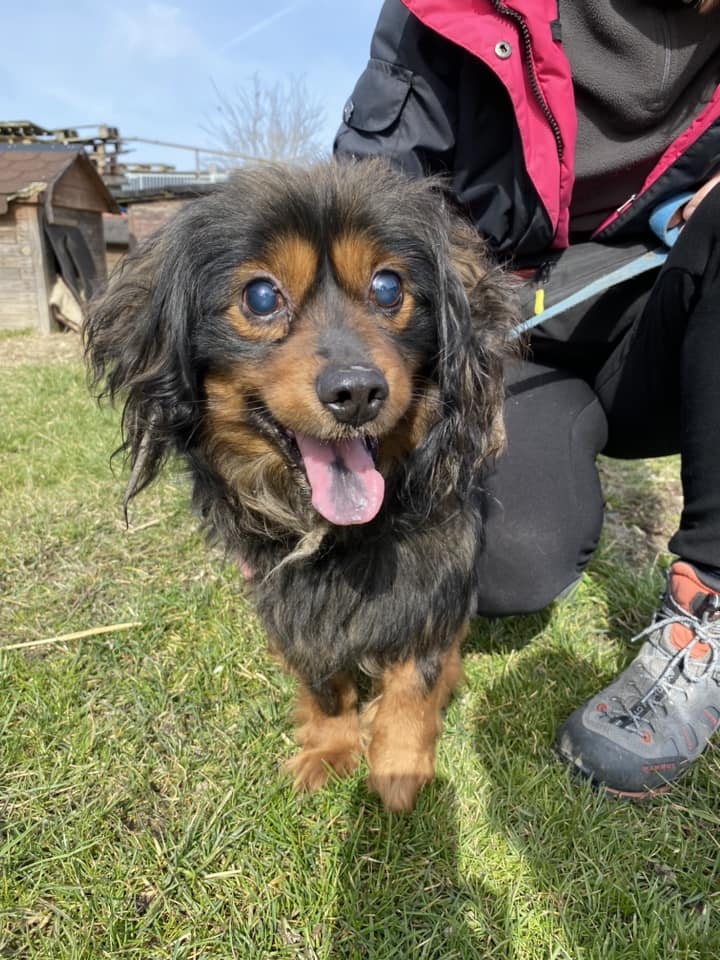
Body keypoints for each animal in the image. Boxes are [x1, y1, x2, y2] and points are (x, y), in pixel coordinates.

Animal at [86, 158, 516, 808]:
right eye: (261, 296)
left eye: (388, 288)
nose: (357, 391)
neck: (339, 534)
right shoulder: (287, 603)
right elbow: (324, 684)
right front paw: (331, 750)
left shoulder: (433, 585)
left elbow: (413, 684)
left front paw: (397, 769)